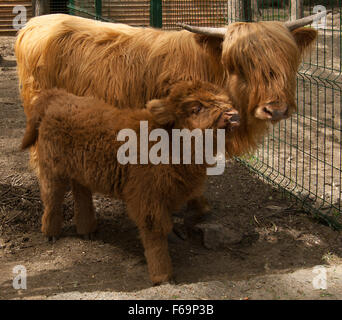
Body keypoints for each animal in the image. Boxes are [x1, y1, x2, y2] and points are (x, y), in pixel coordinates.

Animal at [20, 81, 240, 284]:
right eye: (196, 108)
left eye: (224, 99)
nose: (232, 115)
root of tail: (58, 96)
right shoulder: (148, 200)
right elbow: (155, 234)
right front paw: (163, 276)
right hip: (53, 169)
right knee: (52, 196)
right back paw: (51, 233)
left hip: (80, 170)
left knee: (81, 193)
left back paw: (87, 230)